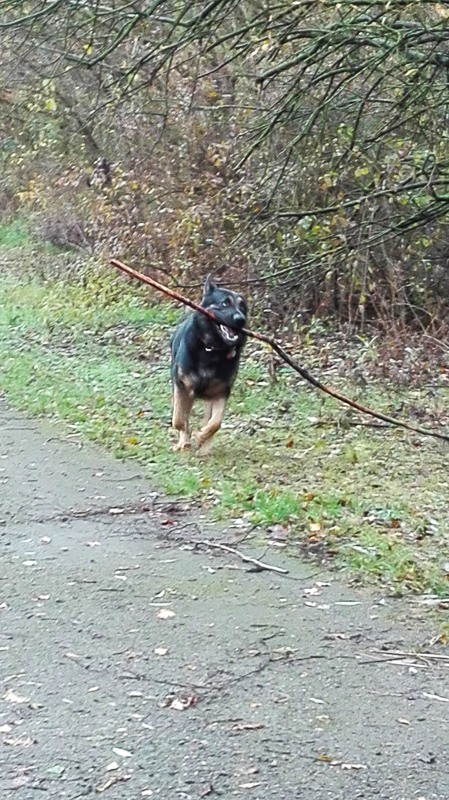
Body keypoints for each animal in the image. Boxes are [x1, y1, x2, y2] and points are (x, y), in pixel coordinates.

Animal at [170, 276, 247, 450]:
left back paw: (204, 447)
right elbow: (179, 419)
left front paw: (201, 437)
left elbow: (215, 423)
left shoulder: (221, 392)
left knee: (208, 419)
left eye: (243, 307)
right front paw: (185, 438)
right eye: (224, 303)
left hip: (209, 398)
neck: (213, 349)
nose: (241, 320)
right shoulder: (182, 386)